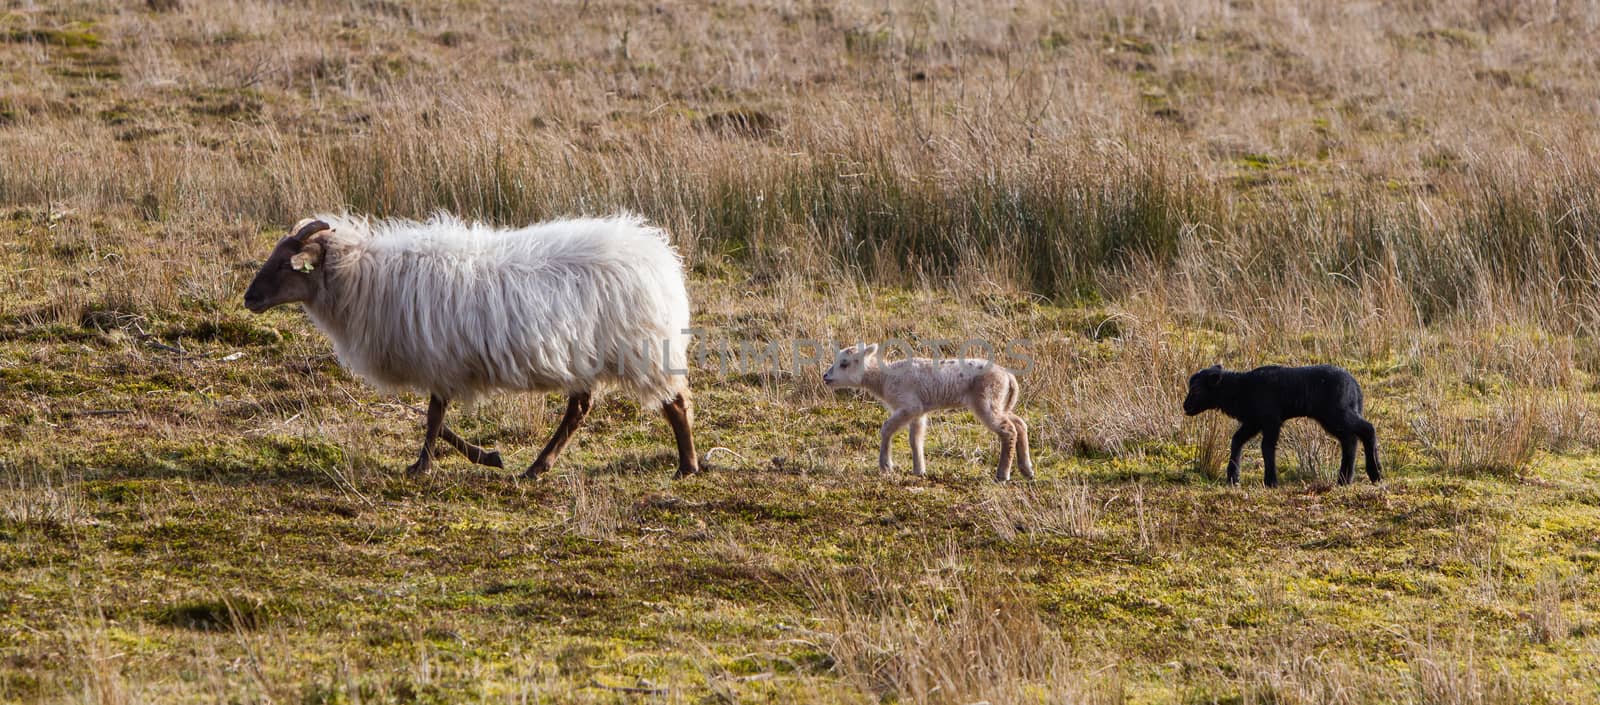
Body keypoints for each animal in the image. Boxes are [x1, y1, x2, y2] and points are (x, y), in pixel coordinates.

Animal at [243, 214, 700, 479]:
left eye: (286, 264)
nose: (249, 299)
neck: (363, 277)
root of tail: (657, 257)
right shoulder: (444, 366)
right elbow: (437, 421)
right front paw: (488, 455)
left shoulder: (439, 361)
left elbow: (433, 419)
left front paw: (421, 466)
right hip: (584, 357)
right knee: (579, 409)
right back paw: (537, 467)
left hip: (641, 350)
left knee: (675, 404)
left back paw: (687, 466)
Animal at [825, 343, 1036, 479]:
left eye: (844, 363)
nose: (825, 376)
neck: (883, 379)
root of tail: (1008, 375)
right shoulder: (918, 411)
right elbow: (915, 439)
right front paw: (919, 470)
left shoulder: (909, 405)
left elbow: (886, 429)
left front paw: (886, 465)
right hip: (1000, 401)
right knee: (1020, 423)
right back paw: (1027, 469)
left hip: (987, 399)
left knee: (1008, 430)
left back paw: (1003, 474)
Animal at [1184, 362, 1382, 482]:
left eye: (1196, 390)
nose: (1185, 407)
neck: (1240, 389)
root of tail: (1356, 387)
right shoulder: (1253, 421)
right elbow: (1237, 440)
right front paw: (1233, 478)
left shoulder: (1271, 419)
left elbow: (1266, 446)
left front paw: (1270, 481)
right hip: (1332, 418)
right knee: (1350, 440)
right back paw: (1344, 480)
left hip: (1337, 412)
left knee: (1367, 429)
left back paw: (1375, 473)